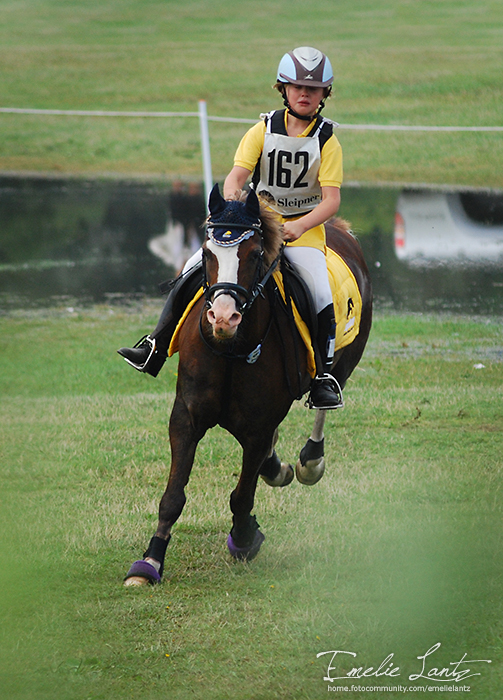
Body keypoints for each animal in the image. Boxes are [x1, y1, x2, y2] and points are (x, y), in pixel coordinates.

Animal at [124, 185, 372, 584]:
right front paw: (149, 562)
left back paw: (311, 459)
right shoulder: (185, 417)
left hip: (346, 359)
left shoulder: (258, 427)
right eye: (207, 253)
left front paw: (243, 538)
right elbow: (173, 496)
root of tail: (339, 230)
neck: (231, 349)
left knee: (328, 396)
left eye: (255, 254)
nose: (223, 317)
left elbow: (242, 495)